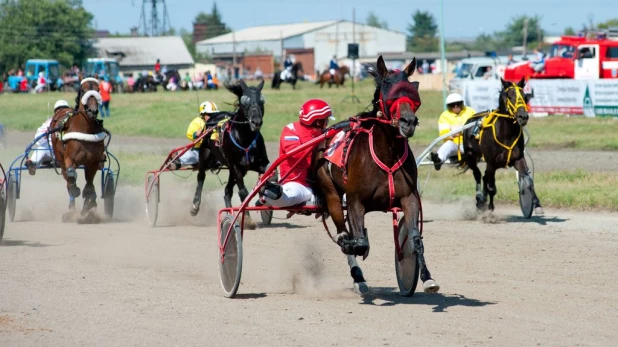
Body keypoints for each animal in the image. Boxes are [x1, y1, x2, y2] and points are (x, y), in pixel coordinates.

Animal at [191, 80, 268, 230]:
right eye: (245, 102)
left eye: (261, 101)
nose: (256, 121)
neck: (245, 138)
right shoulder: (237, 166)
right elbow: (243, 192)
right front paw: (248, 220)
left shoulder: (260, 163)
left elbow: (270, 175)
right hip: (205, 155)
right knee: (201, 177)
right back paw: (195, 205)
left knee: (227, 191)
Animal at [310, 55, 436, 294]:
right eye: (388, 86)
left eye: (411, 89)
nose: (408, 122)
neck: (386, 154)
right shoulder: (355, 201)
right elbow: (358, 242)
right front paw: (355, 246)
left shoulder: (409, 197)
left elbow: (415, 238)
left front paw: (427, 277)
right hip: (331, 193)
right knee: (343, 231)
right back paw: (357, 274)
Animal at [454, 77, 540, 216]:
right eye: (510, 96)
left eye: (524, 96)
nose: (523, 116)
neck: (506, 134)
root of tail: (469, 120)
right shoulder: (491, 163)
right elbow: (491, 188)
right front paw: (489, 208)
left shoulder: (518, 159)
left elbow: (528, 181)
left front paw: (533, 203)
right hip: (471, 156)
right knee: (478, 175)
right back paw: (480, 201)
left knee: (484, 176)